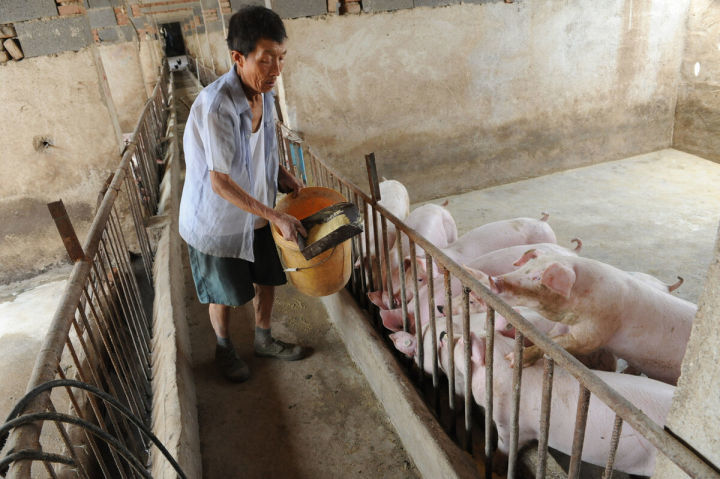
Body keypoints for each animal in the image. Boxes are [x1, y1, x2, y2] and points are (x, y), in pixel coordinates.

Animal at [486, 251, 696, 386]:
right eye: (526, 267)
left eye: (539, 277)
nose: (493, 280)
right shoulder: (565, 325)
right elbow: (549, 338)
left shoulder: (594, 333)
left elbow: (557, 346)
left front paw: (511, 359)